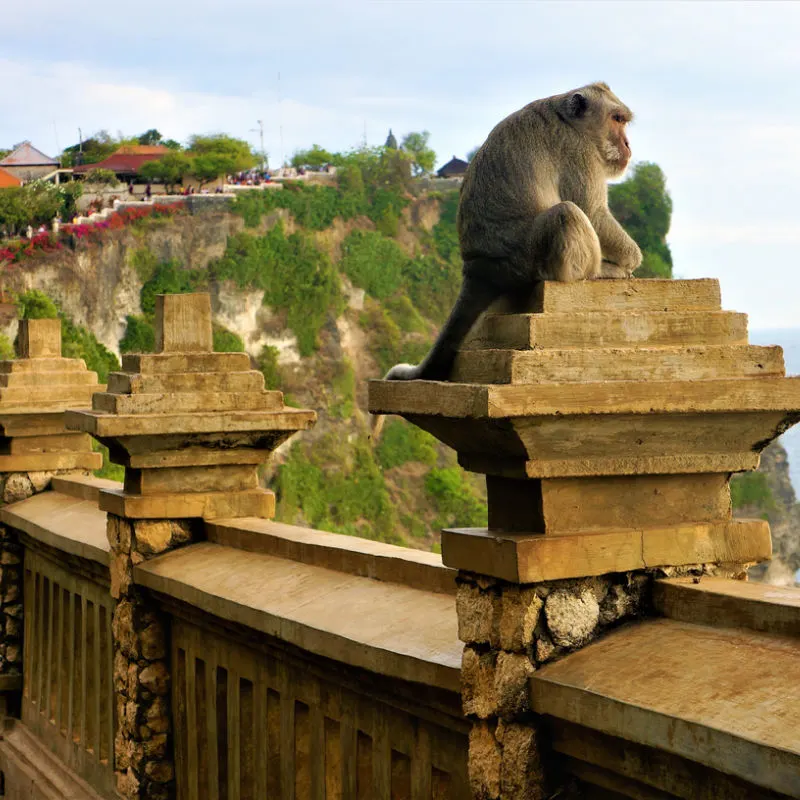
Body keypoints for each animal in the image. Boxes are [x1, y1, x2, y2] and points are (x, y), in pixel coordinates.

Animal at [384, 83, 640, 382]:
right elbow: (593, 211)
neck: (569, 121)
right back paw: (596, 271)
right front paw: (632, 258)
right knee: (566, 213)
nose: (627, 144)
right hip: (526, 259)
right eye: (616, 119)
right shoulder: (579, 152)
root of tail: (477, 267)